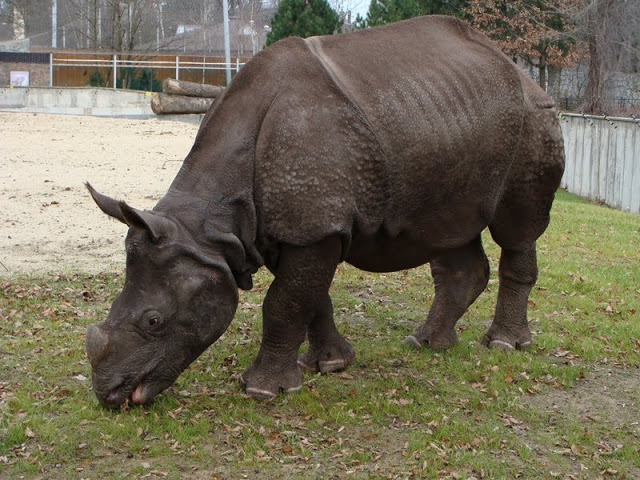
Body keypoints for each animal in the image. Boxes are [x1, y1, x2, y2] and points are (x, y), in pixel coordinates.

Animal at [85, 15, 565, 407]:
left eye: (154, 321)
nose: (109, 395)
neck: (208, 228)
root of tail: (521, 72)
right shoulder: (286, 229)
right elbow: (310, 297)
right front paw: (330, 365)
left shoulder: (311, 228)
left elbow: (285, 302)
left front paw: (262, 390)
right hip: (451, 120)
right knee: (451, 231)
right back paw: (427, 343)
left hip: (534, 119)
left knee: (516, 231)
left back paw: (504, 345)